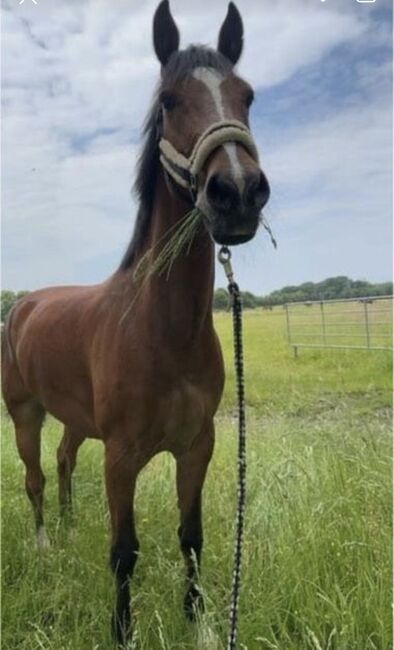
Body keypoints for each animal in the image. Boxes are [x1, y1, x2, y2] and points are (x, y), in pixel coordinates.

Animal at [1, 1, 270, 644]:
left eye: (246, 96)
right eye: (169, 100)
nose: (238, 191)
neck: (162, 329)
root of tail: (23, 305)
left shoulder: (197, 446)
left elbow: (191, 537)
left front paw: (199, 621)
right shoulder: (121, 458)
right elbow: (124, 551)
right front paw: (122, 630)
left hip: (74, 420)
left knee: (64, 461)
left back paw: (70, 527)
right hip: (25, 414)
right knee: (35, 478)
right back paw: (46, 545)